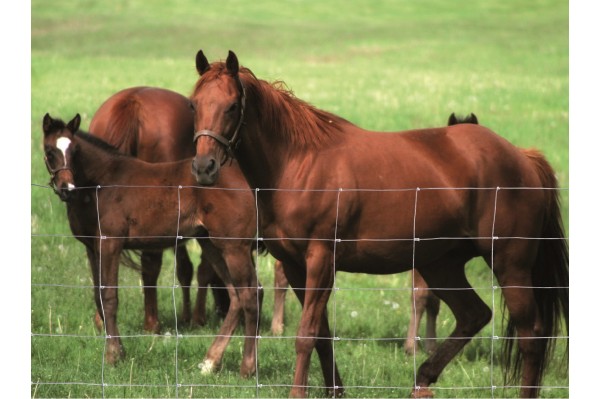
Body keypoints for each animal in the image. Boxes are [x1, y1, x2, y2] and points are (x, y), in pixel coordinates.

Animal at [43, 114, 262, 376]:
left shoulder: (111, 244)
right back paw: (210, 361)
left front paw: (113, 356)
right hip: (211, 243)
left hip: (233, 246)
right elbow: (98, 296)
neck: (101, 184)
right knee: (237, 295)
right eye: (49, 151)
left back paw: (247, 368)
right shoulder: (92, 249)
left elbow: (109, 297)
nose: (67, 189)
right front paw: (118, 350)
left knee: (250, 293)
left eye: (74, 150)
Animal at [190, 51, 568, 398]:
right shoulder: (296, 266)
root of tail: (522, 157)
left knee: (531, 335)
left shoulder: (321, 260)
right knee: (473, 315)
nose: (204, 167)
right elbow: (321, 334)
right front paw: (335, 390)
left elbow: (306, 335)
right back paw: (423, 378)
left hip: (509, 264)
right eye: (195, 105)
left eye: (232, 106)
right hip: (440, 265)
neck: (298, 164)